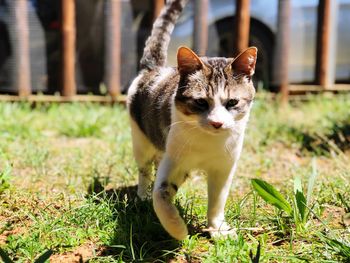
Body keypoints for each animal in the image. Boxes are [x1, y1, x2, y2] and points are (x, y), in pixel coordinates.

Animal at [126, 0, 258, 241]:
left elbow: (217, 201)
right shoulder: (174, 161)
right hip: (140, 141)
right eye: (201, 102)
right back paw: (142, 196)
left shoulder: (223, 167)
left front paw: (217, 229)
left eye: (232, 102)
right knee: (144, 171)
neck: (208, 142)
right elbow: (160, 195)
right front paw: (177, 229)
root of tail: (154, 68)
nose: (217, 123)